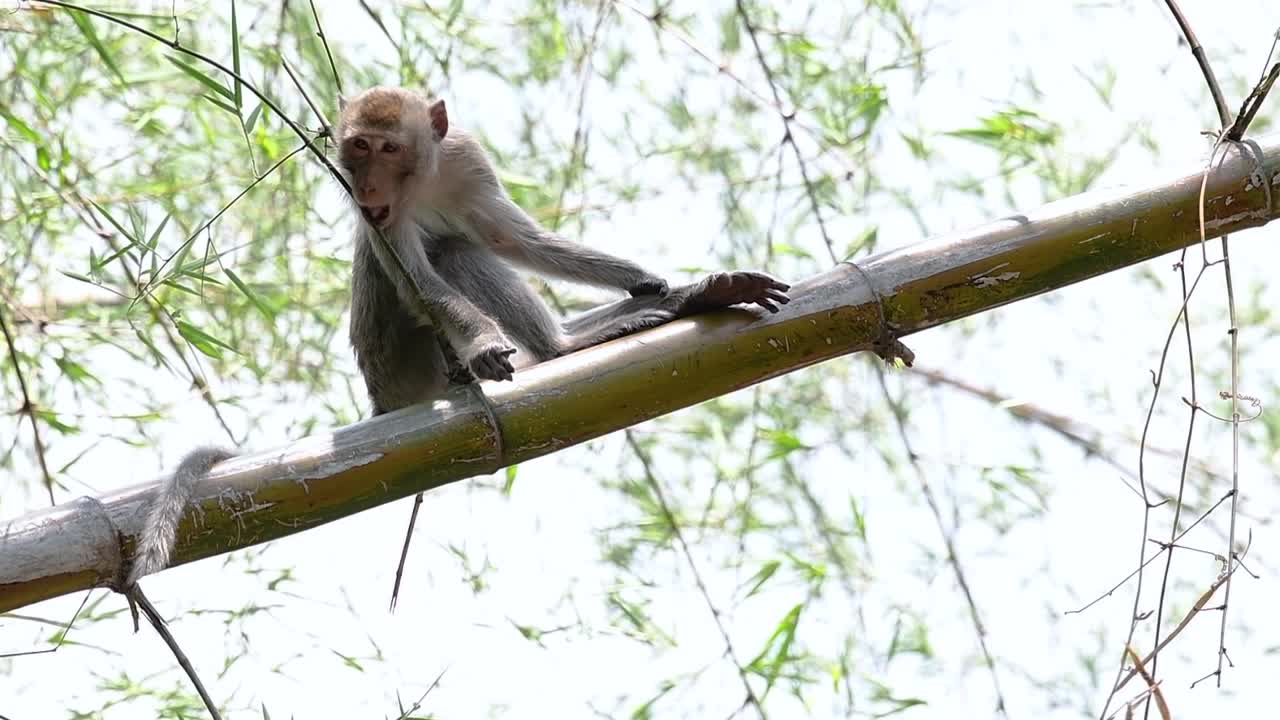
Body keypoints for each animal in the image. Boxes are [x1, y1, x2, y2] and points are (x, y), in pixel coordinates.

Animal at [335, 86, 792, 415]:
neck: (423, 180)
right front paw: (485, 341)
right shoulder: (378, 216)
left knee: (460, 251)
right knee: (452, 253)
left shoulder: (467, 159)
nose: (369, 186)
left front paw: (639, 277)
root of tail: (382, 400)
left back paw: (691, 298)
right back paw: (563, 348)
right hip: (412, 368)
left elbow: (514, 240)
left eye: (389, 148)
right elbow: (421, 285)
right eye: (359, 146)